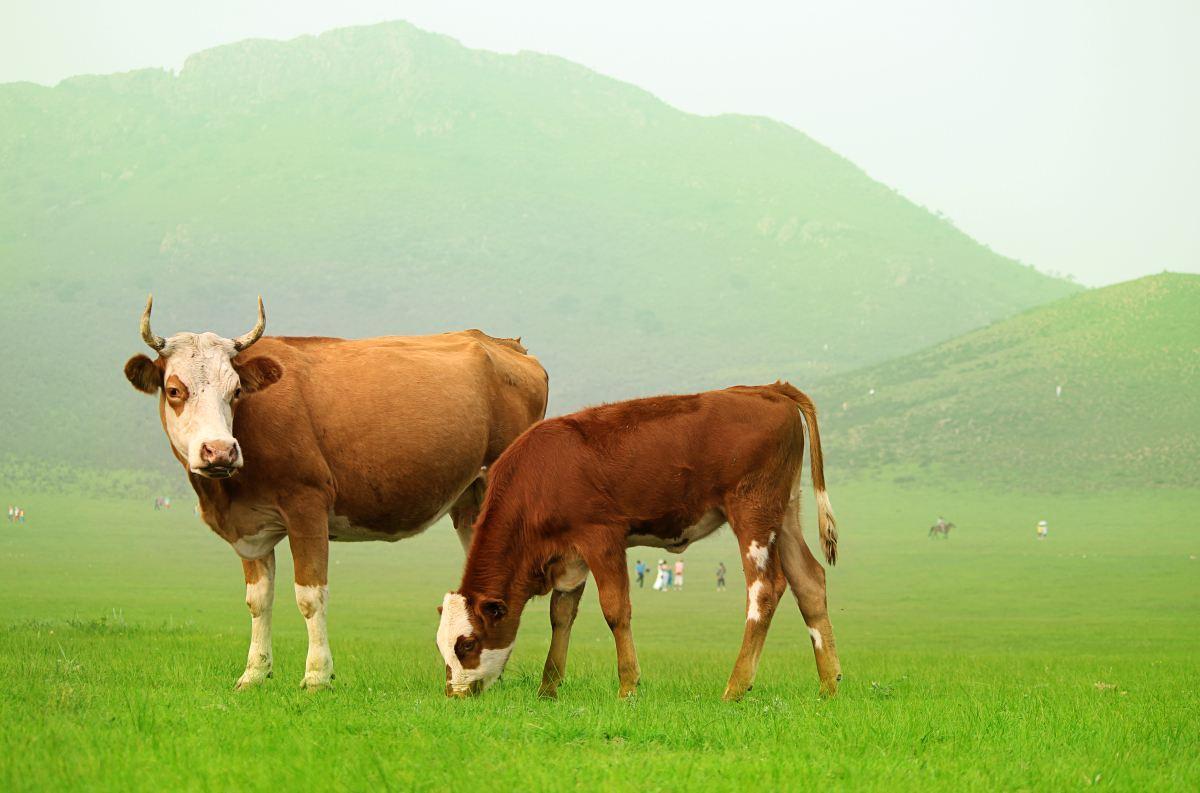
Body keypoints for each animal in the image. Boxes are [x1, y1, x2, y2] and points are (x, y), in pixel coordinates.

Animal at [123, 295, 549, 686]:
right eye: (175, 390)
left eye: (237, 390)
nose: (220, 450)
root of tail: (504, 345)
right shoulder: (251, 528)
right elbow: (258, 600)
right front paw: (255, 674)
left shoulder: (306, 504)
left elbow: (310, 596)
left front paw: (317, 675)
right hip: (470, 501)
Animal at [436, 383, 840, 700]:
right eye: (442, 646)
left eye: (468, 644)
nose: (454, 694)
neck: (540, 476)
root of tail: (768, 389)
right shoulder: (569, 557)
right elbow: (561, 615)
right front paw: (547, 689)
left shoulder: (601, 538)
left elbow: (616, 610)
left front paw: (628, 686)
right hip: (784, 515)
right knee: (810, 581)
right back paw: (828, 684)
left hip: (753, 513)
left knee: (764, 590)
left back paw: (736, 686)